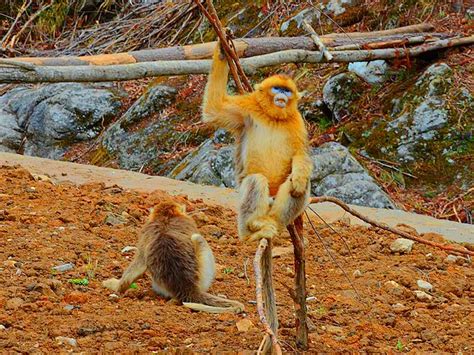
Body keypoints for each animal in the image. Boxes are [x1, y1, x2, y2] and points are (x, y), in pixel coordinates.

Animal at [202, 41, 312, 242]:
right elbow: (214, 109)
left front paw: (299, 179)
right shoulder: (248, 107)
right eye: (277, 88)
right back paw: (252, 228)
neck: (273, 117)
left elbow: (300, 155)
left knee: (299, 185)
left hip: (275, 200)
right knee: (256, 180)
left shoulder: (297, 122)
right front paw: (222, 50)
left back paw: (275, 222)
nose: (282, 95)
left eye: (287, 90)